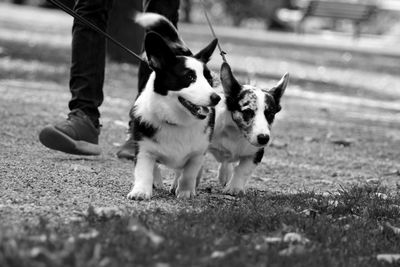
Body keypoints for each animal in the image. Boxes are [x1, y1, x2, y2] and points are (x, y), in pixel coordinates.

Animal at [127, 13, 219, 200]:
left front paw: (185, 192)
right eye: (189, 77)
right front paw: (141, 191)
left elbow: (188, 174)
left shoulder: (197, 154)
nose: (216, 98)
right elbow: (144, 171)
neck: (177, 121)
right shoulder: (143, 149)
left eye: (209, 79)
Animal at [208, 63, 290, 196]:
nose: (263, 139)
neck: (236, 133)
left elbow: (243, 169)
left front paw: (234, 188)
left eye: (270, 114)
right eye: (247, 112)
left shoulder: (256, 153)